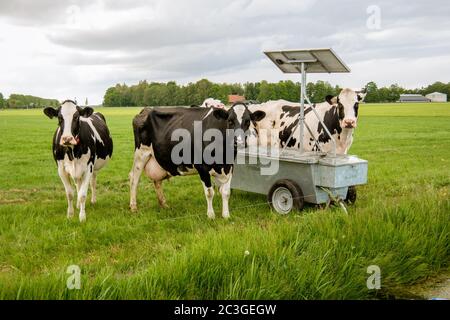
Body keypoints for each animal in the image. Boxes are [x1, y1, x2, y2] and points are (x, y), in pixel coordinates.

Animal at [128, 105, 266, 220]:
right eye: (230, 121)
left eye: (247, 121)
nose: (239, 142)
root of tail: (146, 110)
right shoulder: (202, 168)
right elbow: (210, 192)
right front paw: (211, 215)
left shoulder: (230, 167)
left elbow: (226, 192)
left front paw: (226, 215)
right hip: (140, 153)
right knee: (134, 179)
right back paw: (133, 207)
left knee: (157, 181)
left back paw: (164, 204)